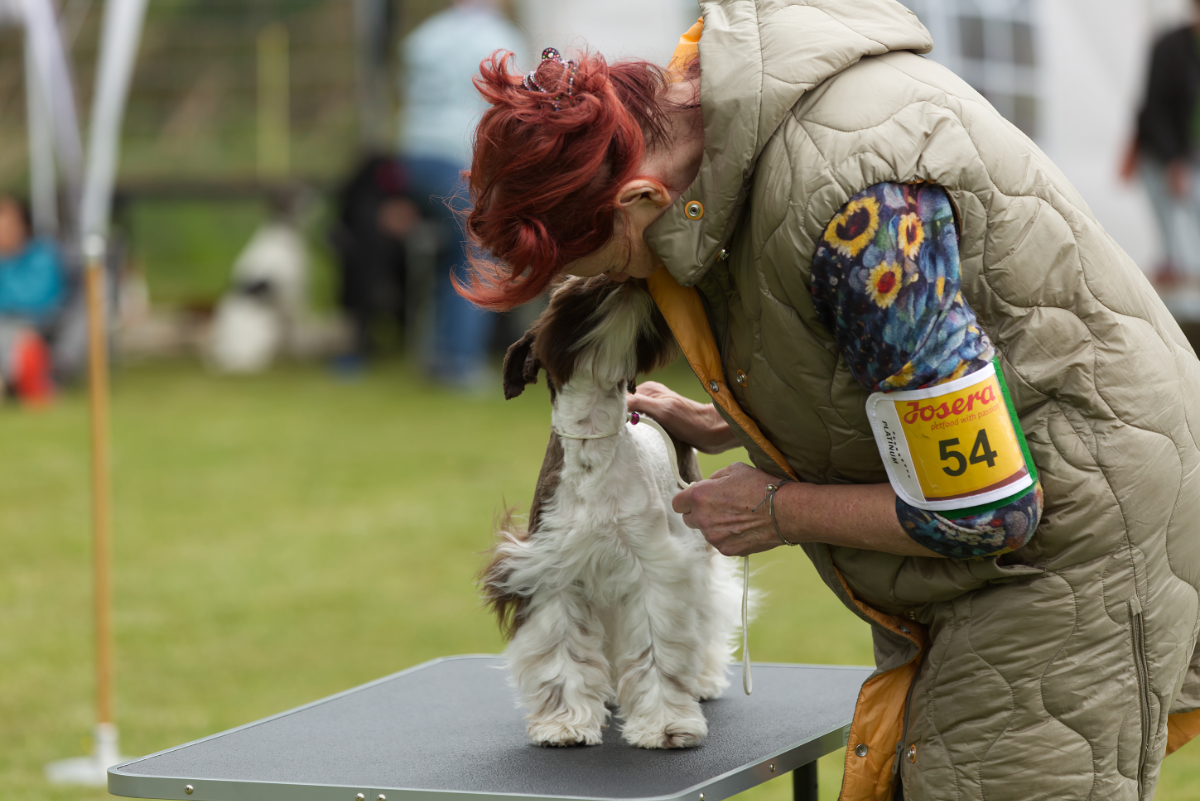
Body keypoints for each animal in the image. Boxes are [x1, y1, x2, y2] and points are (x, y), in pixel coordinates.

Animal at [480, 275, 743, 750]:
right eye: (563, 288)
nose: (623, 277)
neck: (592, 440)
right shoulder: (552, 572)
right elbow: (562, 652)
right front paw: (564, 724)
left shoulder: (656, 570)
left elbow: (659, 650)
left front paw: (665, 725)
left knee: (709, 613)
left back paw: (703, 680)